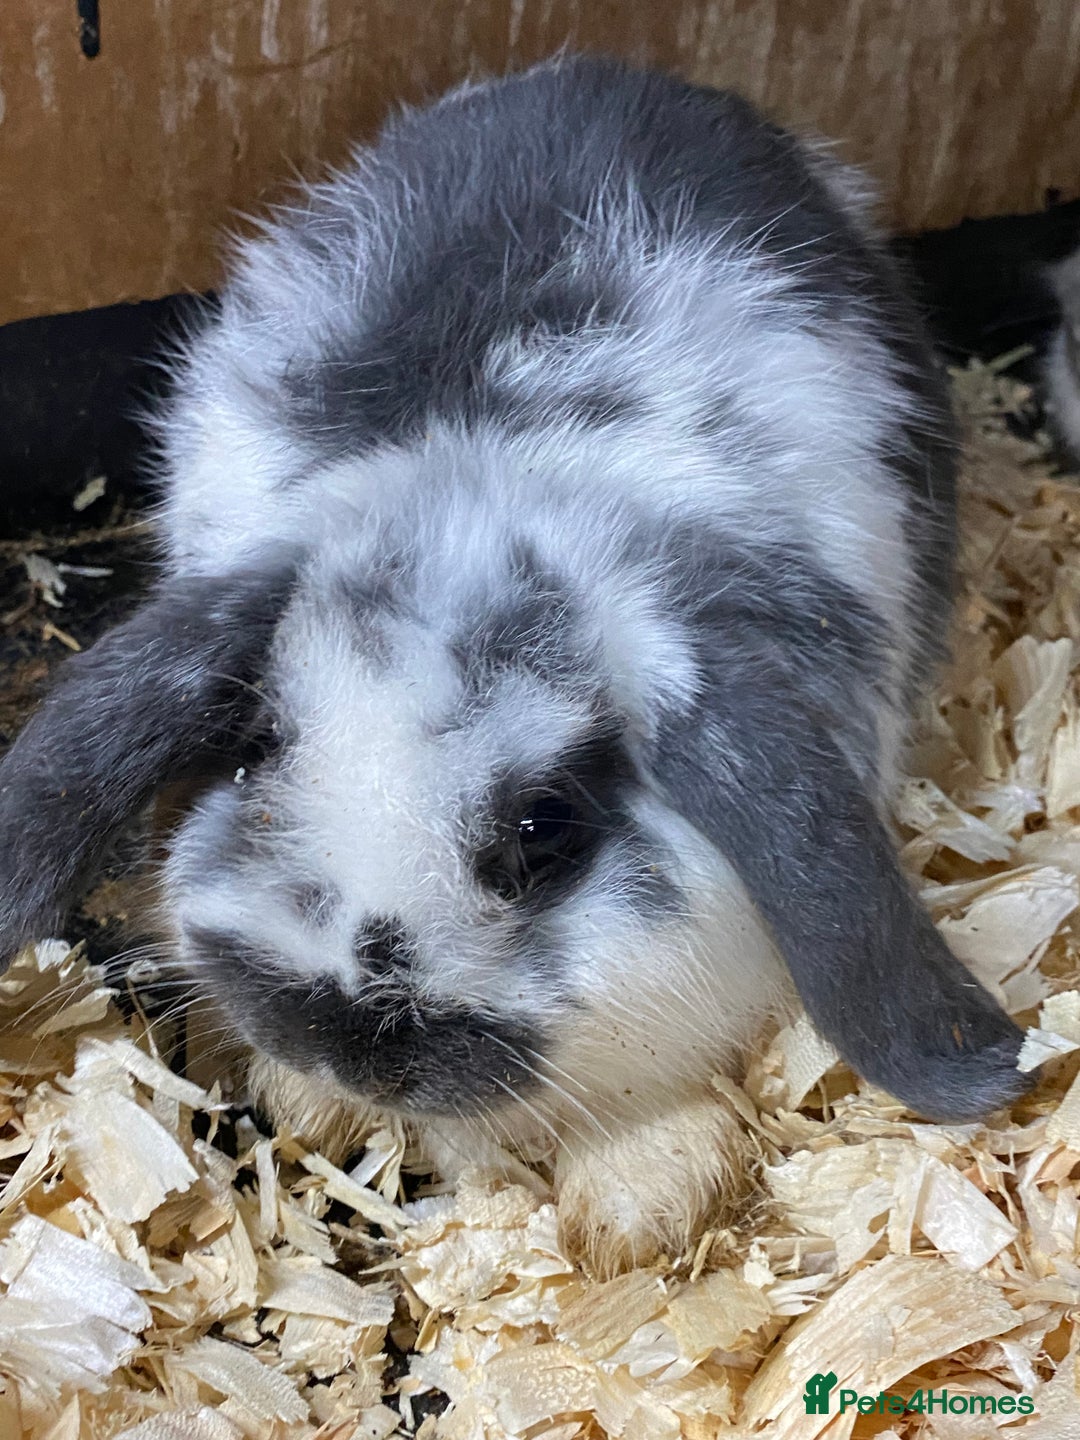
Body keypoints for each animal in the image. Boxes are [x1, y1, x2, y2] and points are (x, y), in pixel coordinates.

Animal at [0, 54, 1032, 1274]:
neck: (485, 497)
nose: (350, 1043)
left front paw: (641, 1208)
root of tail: (622, 75)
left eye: (546, 830)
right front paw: (312, 1105)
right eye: (254, 757)